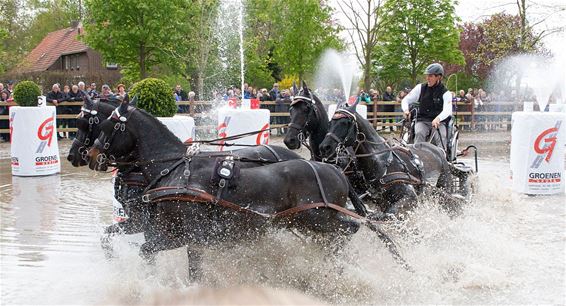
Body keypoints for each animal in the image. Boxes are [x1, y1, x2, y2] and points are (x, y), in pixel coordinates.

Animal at [85, 101, 408, 280]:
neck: (175, 169)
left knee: (349, 230)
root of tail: (337, 171)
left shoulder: (186, 235)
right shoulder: (163, 231)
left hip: (318, 217)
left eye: (106, 126)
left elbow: (175, 263)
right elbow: (141, 250)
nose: (89, 154)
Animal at [320, 103, 458, 218]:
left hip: (445, 191)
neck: (382, 162)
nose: (324, 147)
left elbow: (389, 214)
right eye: (330, 123)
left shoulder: (411, 197)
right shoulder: (380, 201)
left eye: (345, 123)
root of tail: (438, 150)